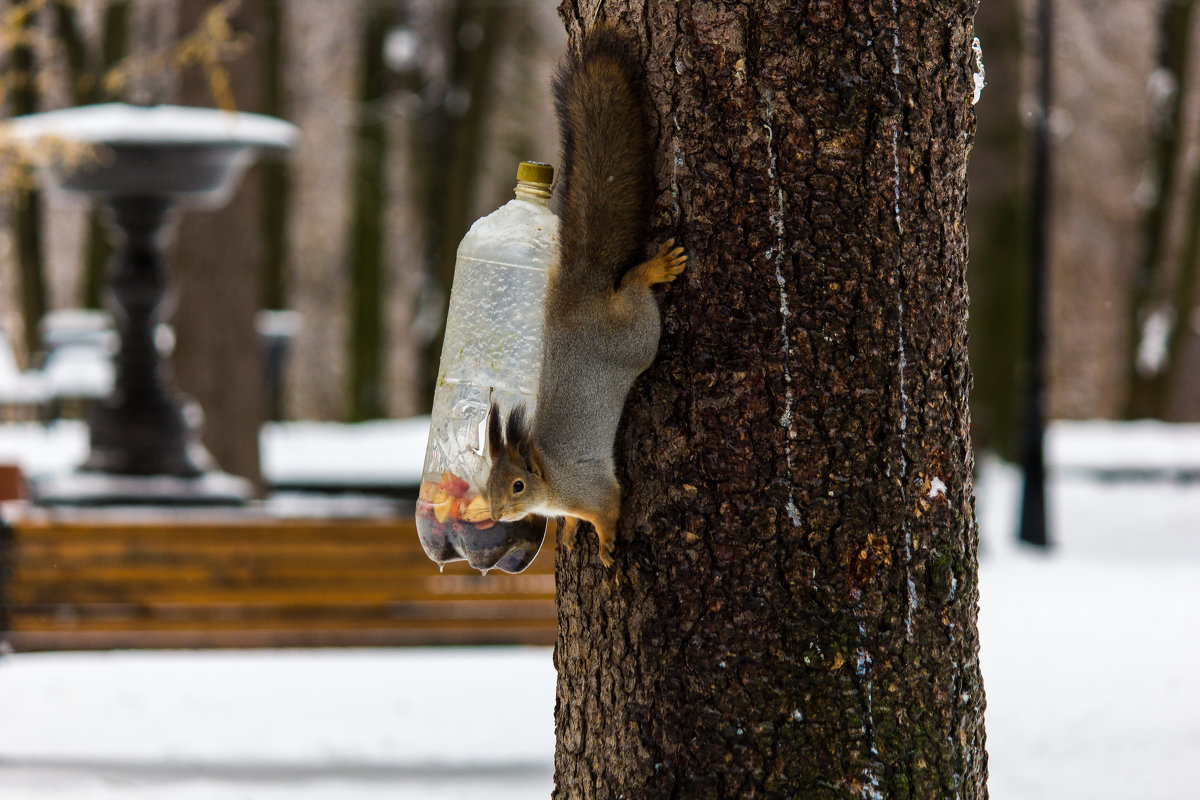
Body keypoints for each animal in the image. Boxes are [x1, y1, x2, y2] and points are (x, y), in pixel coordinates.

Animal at [480, 23, 686, 568]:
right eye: (486, 481)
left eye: (516, 486)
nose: (494, 512)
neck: (550, 480)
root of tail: (580, 291)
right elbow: (576, 520)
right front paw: (571, 533)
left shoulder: (592, 486)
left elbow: (610, 507)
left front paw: (607, 545)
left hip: (634, 338)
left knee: (634, 293)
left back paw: (656, 268)